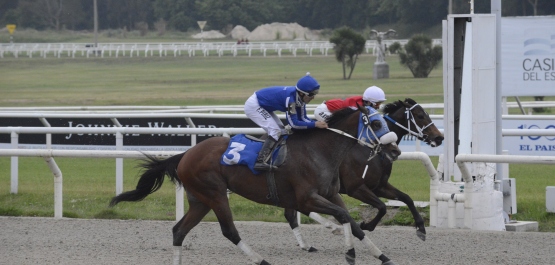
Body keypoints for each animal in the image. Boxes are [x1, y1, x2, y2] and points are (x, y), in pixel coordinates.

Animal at [109, 104, 400, 264]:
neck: (319, 150)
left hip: (200, 200)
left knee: (179, 231)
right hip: (215, 194)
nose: (395, 150)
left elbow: (349, 220)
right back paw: (261, 260)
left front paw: (381, 256)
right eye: (376, 123)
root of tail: (185, 155)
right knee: (229, 231)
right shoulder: (307, 198)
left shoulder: (331, 194)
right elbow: (342, 216)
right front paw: (350, 253)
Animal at [288, 97, 446, 243]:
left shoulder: (379, 186)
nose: (439, 137)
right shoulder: (356, 188)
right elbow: (382, 206)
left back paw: (332, 228)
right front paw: (366, 225)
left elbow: (406, 198)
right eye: (420, 116)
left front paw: (421, 228)